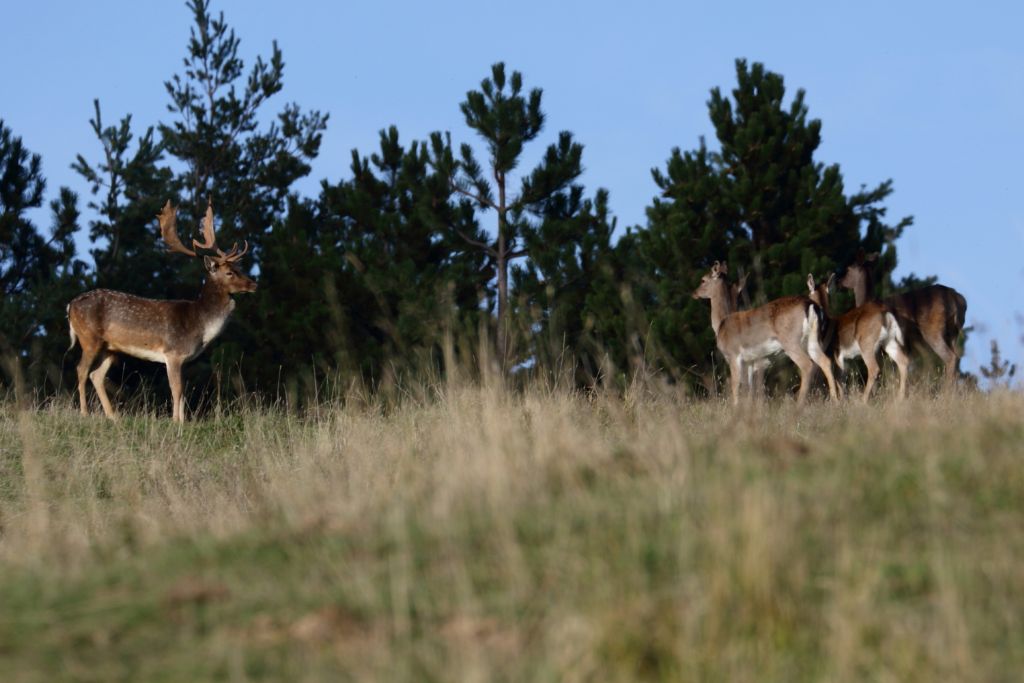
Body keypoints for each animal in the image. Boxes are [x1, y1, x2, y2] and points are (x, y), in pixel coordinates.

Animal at [66, 198, 256, 421]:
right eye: (229, 272)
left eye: (239, 268)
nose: (253, 284)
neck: (199, 323)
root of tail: (70, 306)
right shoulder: (173, 352)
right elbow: (176, 390)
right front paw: (176, 422)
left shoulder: (183, 360)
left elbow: (183, 391)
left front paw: (183, 421)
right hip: (89, 337)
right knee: (81, 369)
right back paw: (85, 413)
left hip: (110, 348)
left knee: (96, 374)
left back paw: (113, 417)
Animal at [688, 259, 839, 403]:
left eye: (703, 280)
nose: (694, 293)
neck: (721, 324)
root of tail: (812, 305)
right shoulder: (749, 362)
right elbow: (749, 390)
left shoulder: (733, 354)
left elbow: (735, 387)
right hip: (813, 340)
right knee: (825, 361)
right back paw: (836, 401)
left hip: (791, 341)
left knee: (808, 365)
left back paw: (799, 404)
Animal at [802, 272, 909, 401]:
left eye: (809, 294)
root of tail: (885, 313)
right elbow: (841, 380)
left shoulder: (836, 354)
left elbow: (838, 380)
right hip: (889, 341)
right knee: (903, 361)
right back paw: (900, 398)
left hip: (866, 344)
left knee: (874, 369)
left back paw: (863, 400)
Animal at [839, 252, 966, 389]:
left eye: (848, 268)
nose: (839, 281)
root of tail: (957, 299)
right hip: (953, 332)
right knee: (957, 358)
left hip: (933, 330)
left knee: (950, 357)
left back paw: (946, 390)